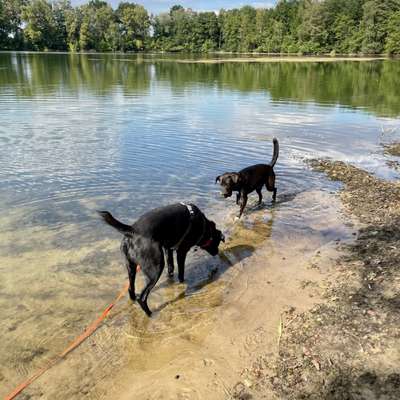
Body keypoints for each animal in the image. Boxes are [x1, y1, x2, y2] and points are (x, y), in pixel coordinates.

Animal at [97, 205, 225, 318]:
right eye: (218, 242)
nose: (217, 252)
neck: (204, 226)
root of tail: (132, 231)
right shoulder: (181, 251)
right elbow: (181, 272)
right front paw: (183, 282)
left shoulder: (168, 249)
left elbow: (171, 267)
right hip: (156, 268)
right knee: (142, 297)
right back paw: (150, 314)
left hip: (131, 267)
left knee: (130, 289)